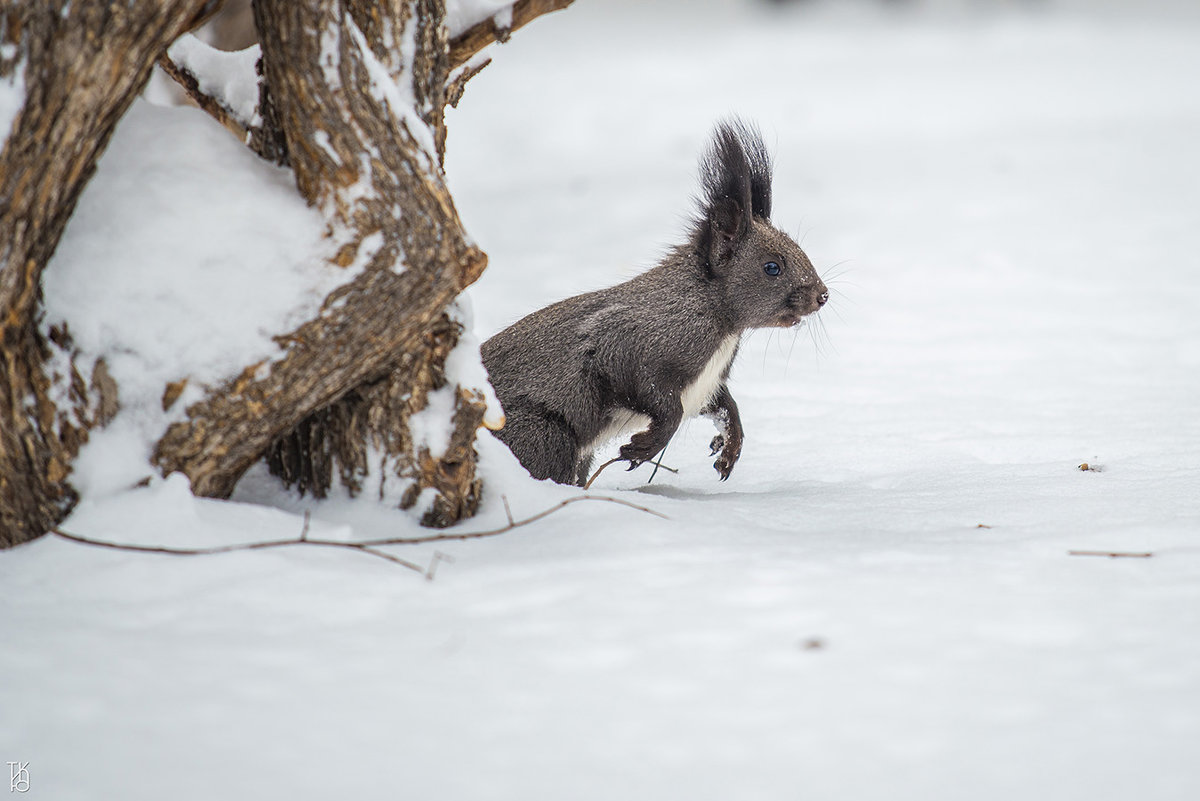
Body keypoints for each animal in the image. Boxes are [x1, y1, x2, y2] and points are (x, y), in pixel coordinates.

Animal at [477, 115, 825, 484]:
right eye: (772, 267)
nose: (823, 295)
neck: (718, 318)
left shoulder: (707, 383)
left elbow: (724, 406)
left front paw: (731, 446)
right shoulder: (633, 343)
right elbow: (665, 406)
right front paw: (642, 448)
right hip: (542, 436)